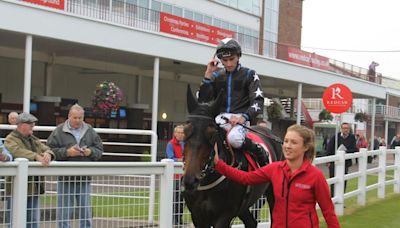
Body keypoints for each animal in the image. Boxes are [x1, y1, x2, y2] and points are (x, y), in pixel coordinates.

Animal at [183, 86, 282, 227]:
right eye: (184, 131)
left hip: (273, 193)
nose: (191, 180)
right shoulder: (197, 216)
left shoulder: (224, 216)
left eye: (212, 134)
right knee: (251, 222)